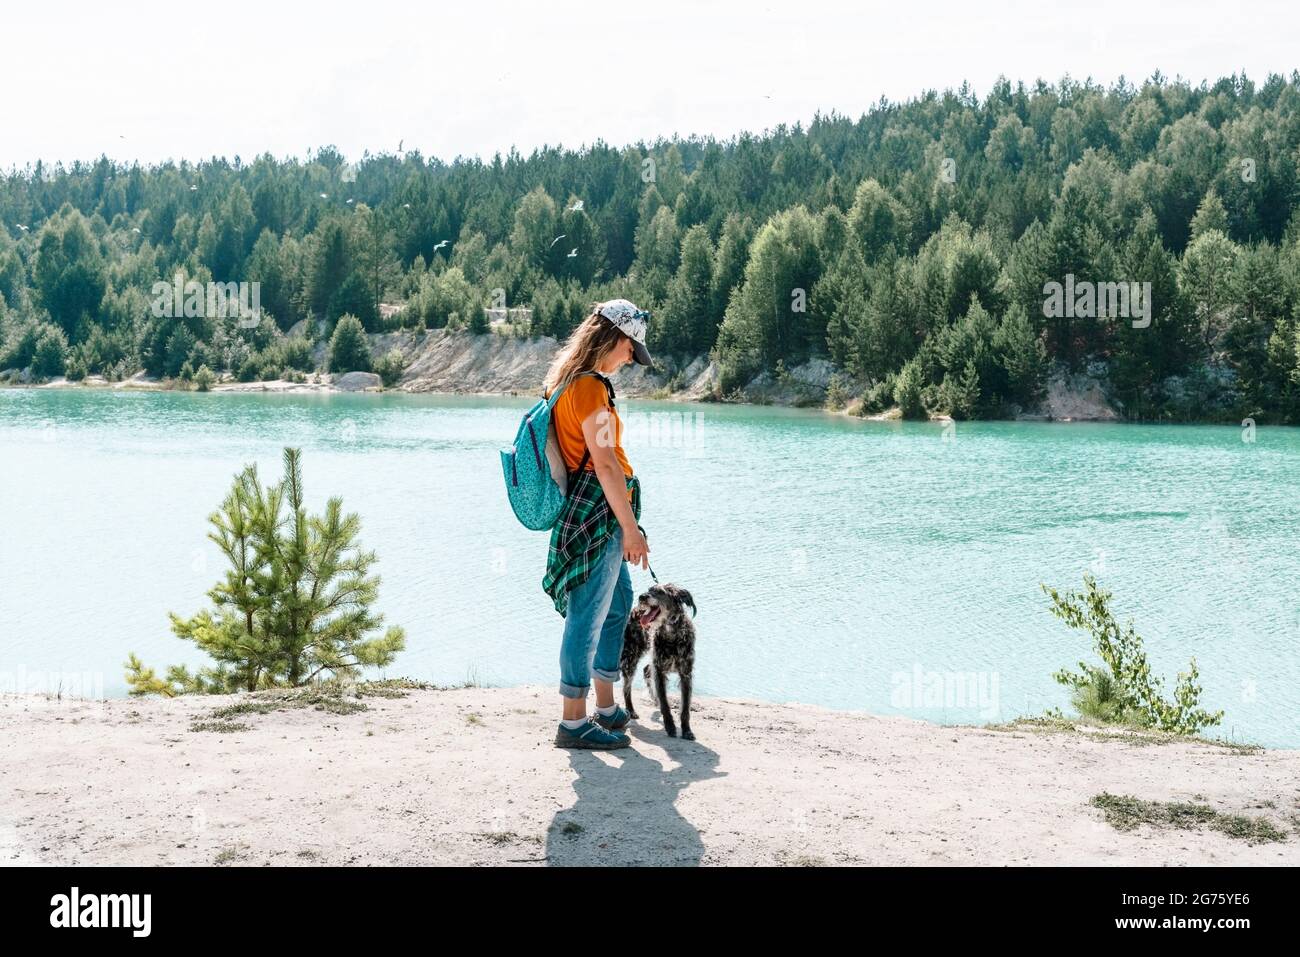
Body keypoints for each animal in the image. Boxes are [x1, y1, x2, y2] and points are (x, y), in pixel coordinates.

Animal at [621, 582, 696, 738]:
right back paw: (631, 710)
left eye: (661, 592)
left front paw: (686, 730)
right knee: (626, 688)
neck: (672, 635)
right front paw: (670, 727)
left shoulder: (686, 674)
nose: (642, 597)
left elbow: (685, 707)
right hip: (630, 659)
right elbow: (665, 704)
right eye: (649, 589)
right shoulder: (659, 671)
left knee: (646, 670)